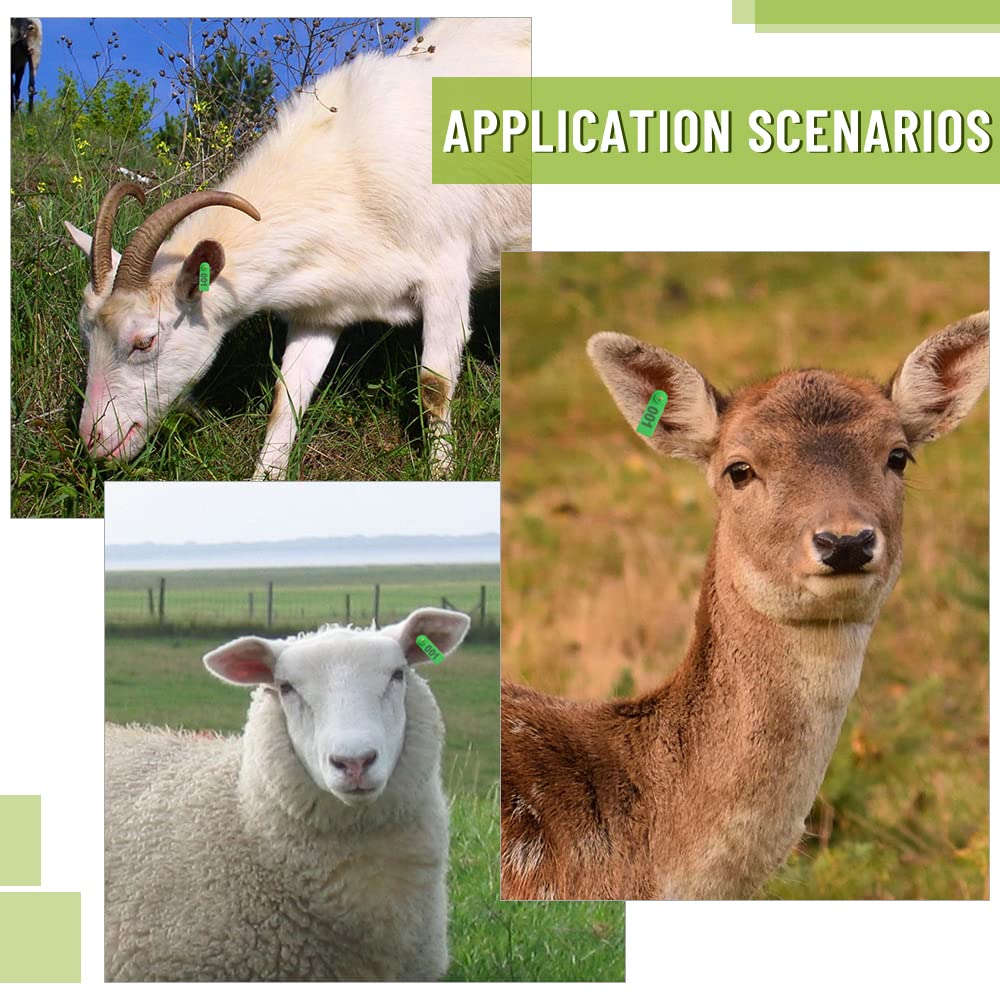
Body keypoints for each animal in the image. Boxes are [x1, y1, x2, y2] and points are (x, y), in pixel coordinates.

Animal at [63, 18, 531, 479]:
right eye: (86, 335)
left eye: (144, 341)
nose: (94, 439)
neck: (345, 171)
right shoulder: (323, 306)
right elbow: (286, 397)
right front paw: (266, 475)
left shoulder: (445, 275)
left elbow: (434, 386)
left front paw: (442, 473)